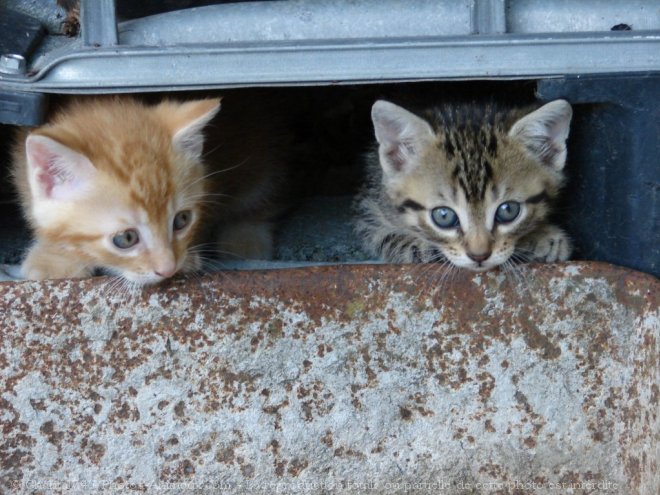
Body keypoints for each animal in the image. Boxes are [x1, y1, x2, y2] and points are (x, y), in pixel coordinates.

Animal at [356, 99, 572, 272]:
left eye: (508, 210)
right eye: (443, 216)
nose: (479, 256)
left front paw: (542, 235)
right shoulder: (369, 211)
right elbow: (385, 236)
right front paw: (418, 245)